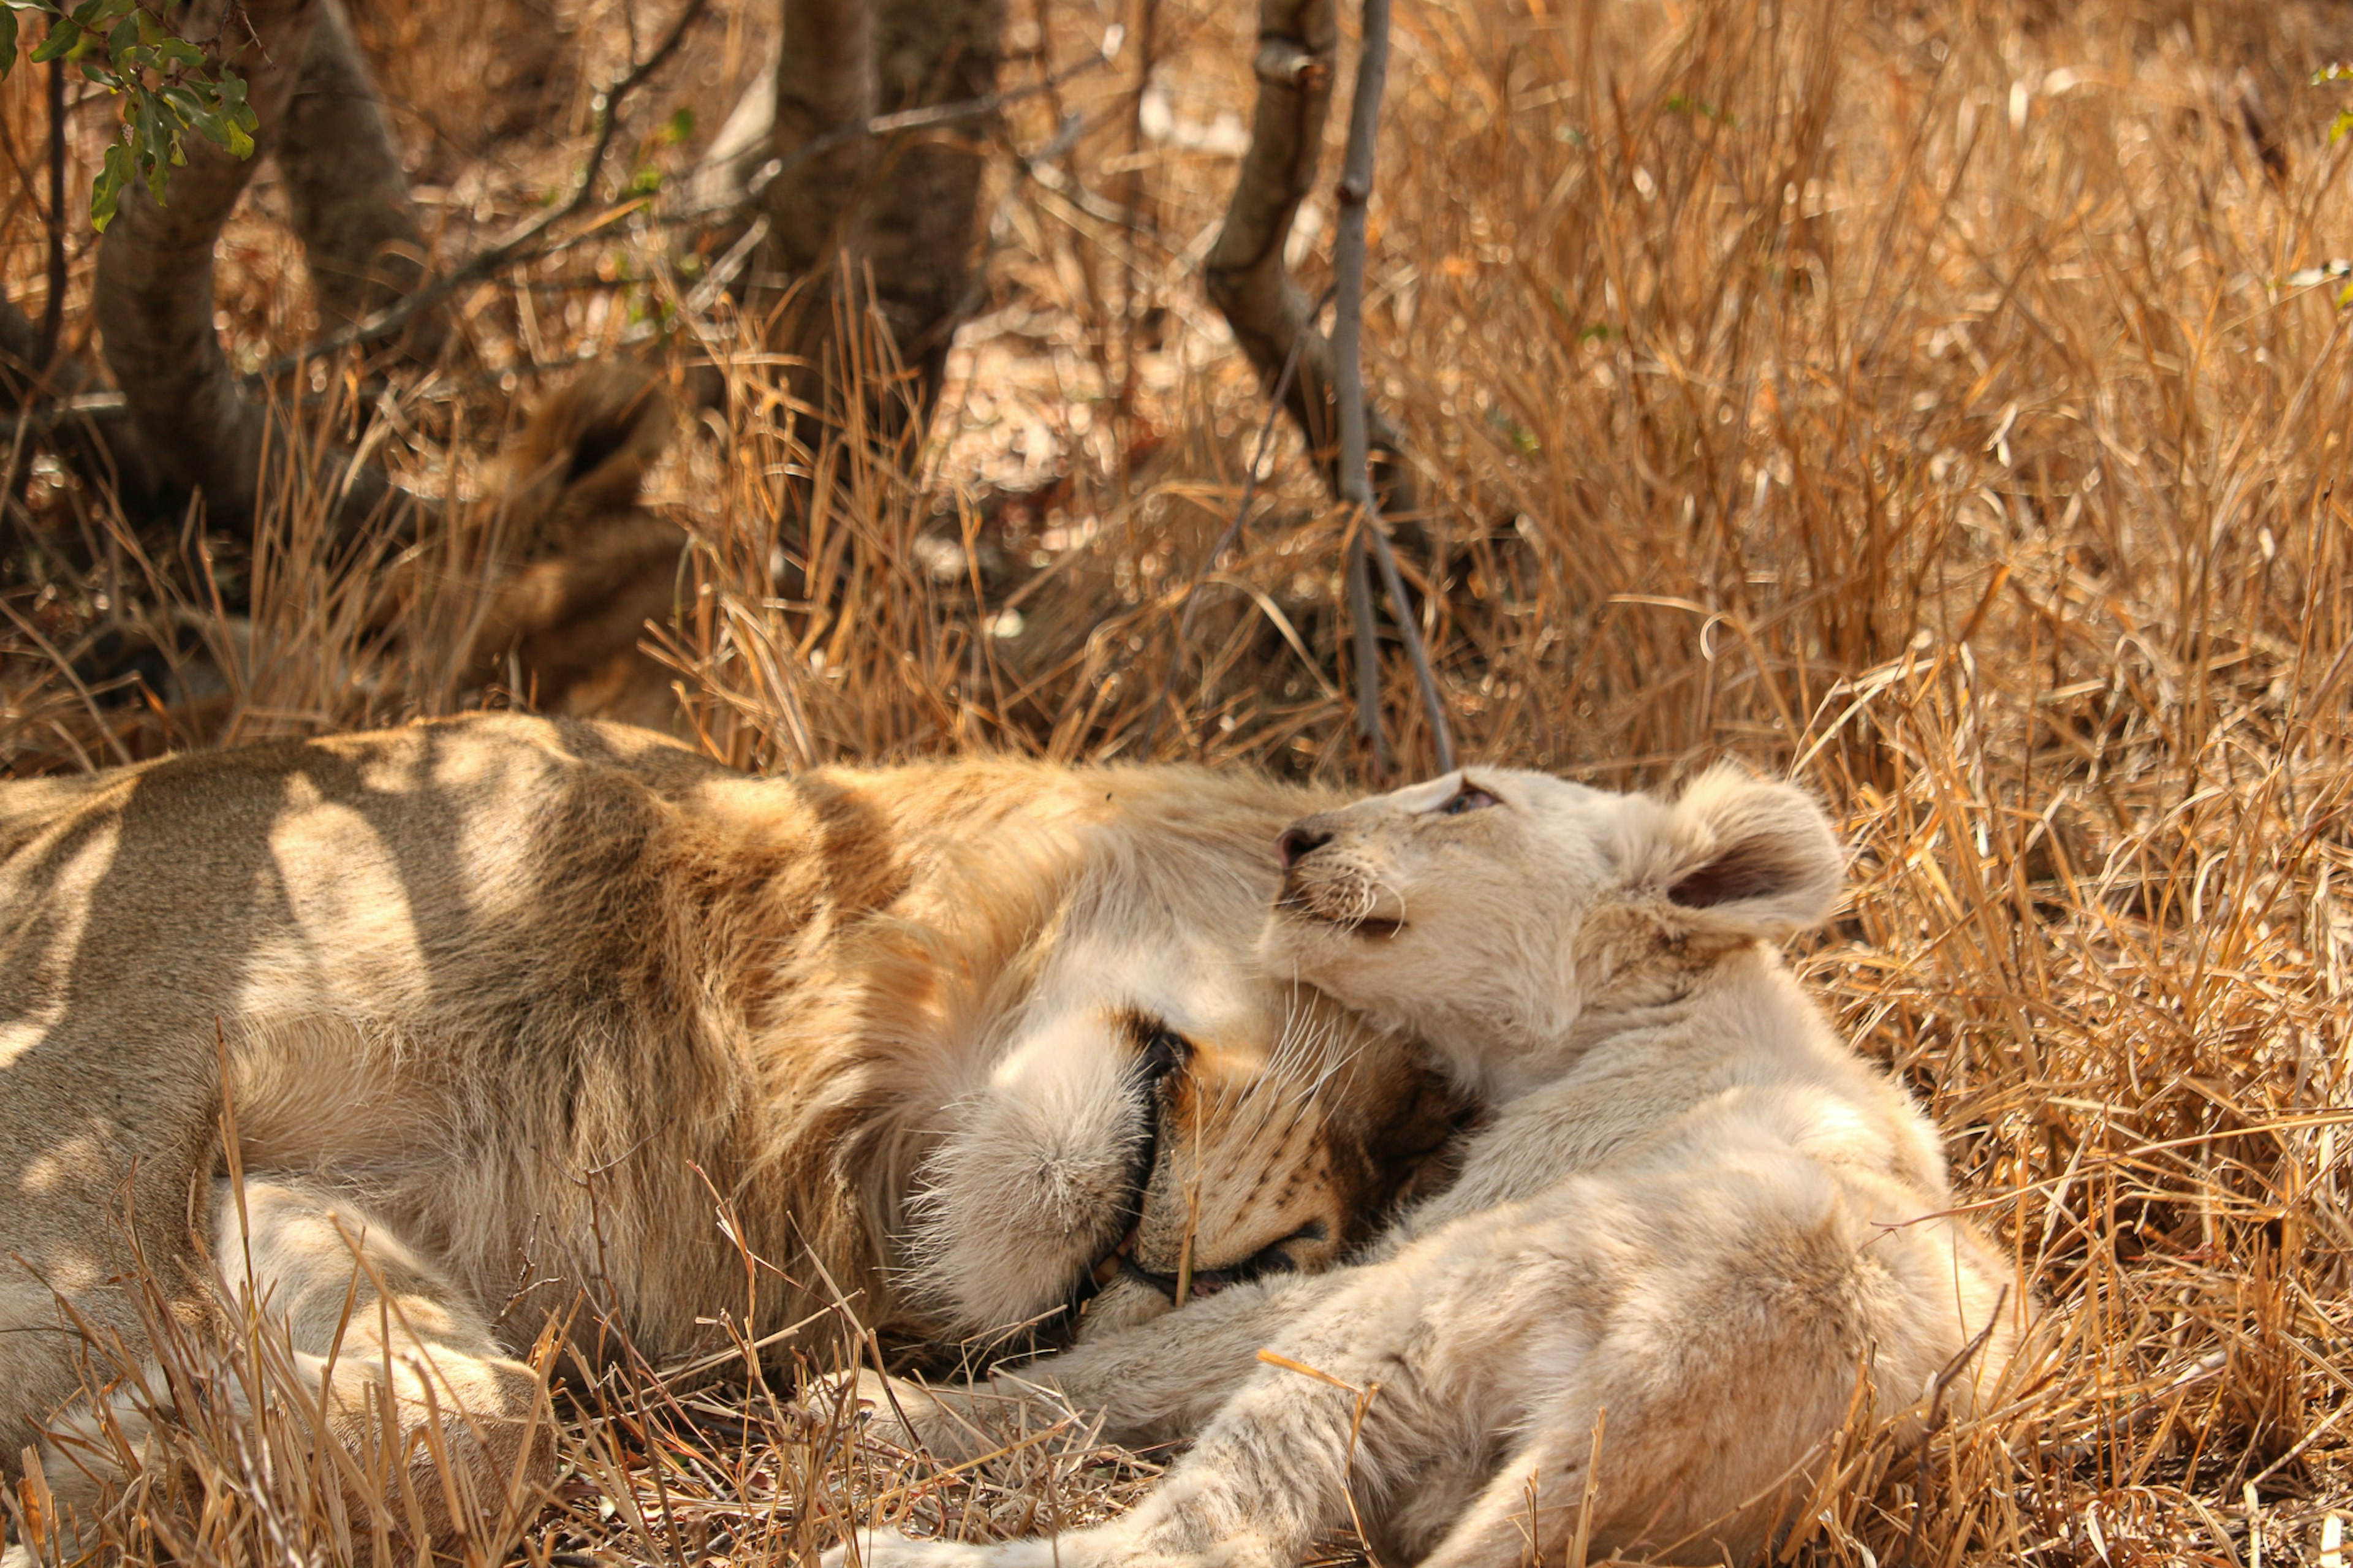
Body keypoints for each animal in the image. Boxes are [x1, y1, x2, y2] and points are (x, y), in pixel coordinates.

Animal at [0, 716, 1458, 1544]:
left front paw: (147, 1452)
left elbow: (492, 1422)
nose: (1289, 1254)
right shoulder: (100, 1085)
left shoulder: (312, 1192)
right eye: (1419, 1078)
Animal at [824, 762, 2023, 1563]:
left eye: (1468, 798)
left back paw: (886, 1522)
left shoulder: (1487, 1195)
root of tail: (1680, 1376)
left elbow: (1128, 1360)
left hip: (1411, 1315)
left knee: (1203, 1532)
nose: (1296, 836)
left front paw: (891, 1403)